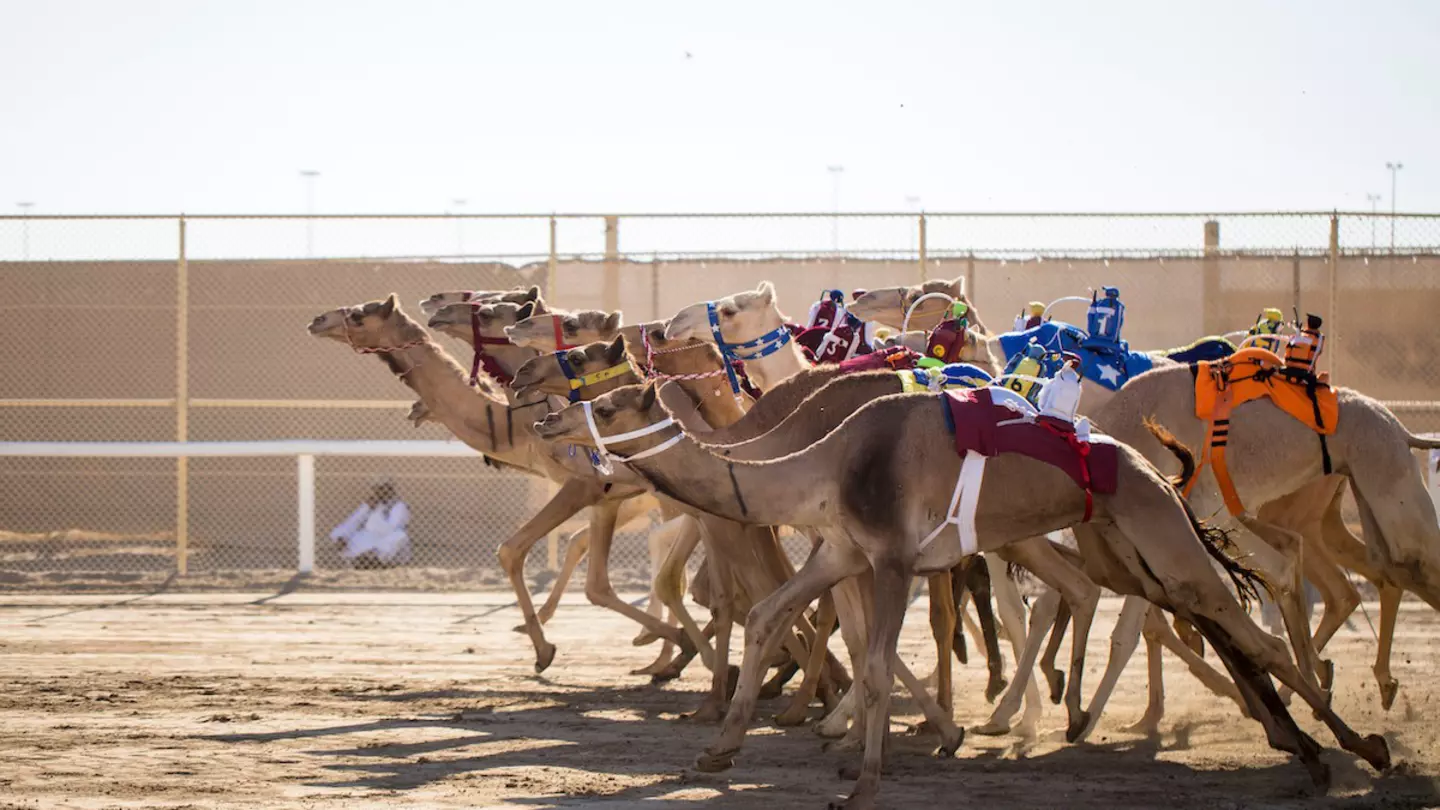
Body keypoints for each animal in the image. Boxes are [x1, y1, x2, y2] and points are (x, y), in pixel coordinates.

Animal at [535, 381, 1389, 808]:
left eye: (605, 404)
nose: (544, 420)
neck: (825, 462)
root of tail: (1154, 467)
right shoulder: (841, 548)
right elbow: (771, 612)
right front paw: (718, 749)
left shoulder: (890, 557)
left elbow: (876, 664)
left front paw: (865, 784)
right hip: (1125, 545)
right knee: (1203, 617)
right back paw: (1307, 751)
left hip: (1153, 526)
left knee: (1247, 626)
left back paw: (1356, 751)